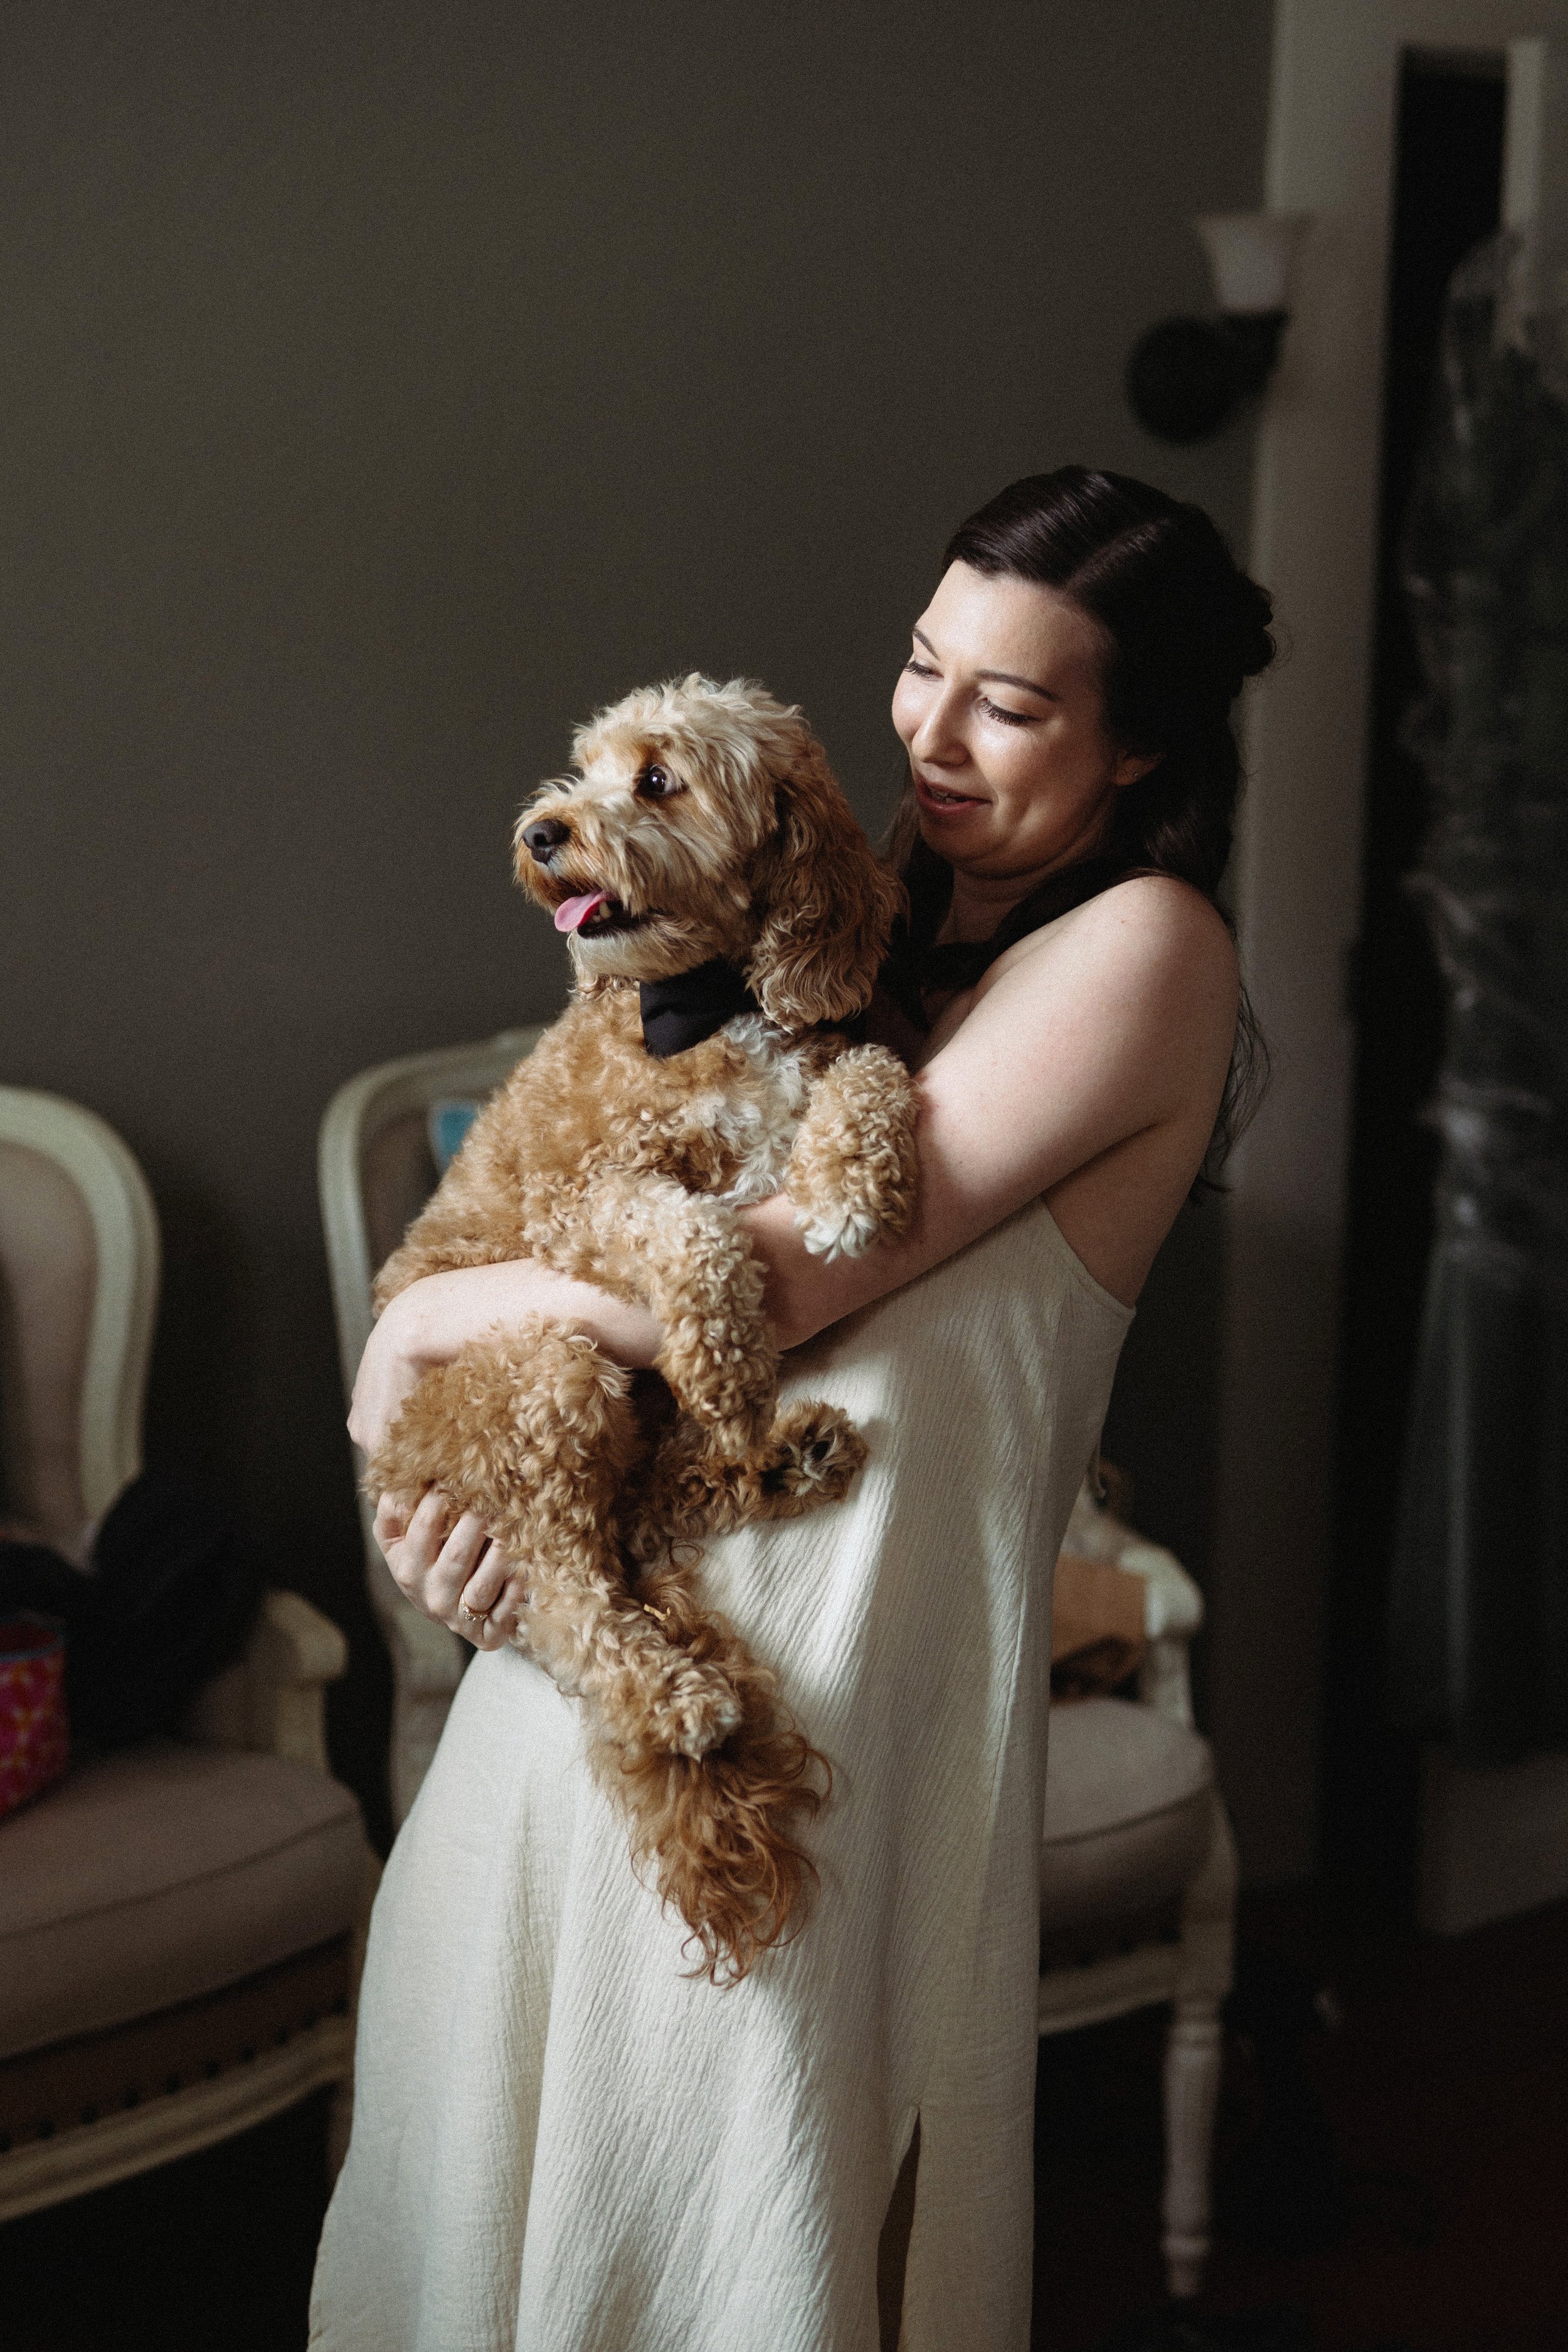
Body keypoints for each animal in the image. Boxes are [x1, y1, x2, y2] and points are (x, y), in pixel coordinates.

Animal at [369, 675, 919, 1981]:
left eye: (658, 781)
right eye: (582, 768)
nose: (542, 832)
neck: (709, 1004)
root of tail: (393, 1460)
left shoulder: (829, 1054)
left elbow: (872, 1070)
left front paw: (852, 1183)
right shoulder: (583, 1202)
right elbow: (693, 1231)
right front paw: (730, 1346)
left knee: (654, 1507)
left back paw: (783, 1456)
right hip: (541, 1375)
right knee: (574, 1600)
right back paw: (675, 1692)